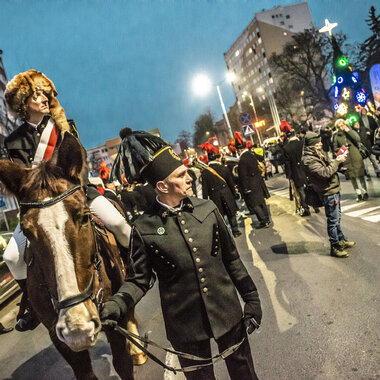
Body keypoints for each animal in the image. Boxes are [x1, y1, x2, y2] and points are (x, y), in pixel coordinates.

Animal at [0, 131, 147, 380]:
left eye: (84, 217)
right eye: (26, 231)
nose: (76, 325)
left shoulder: (113, 318)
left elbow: (122, 363)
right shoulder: (59, 337)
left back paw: (138, 350)